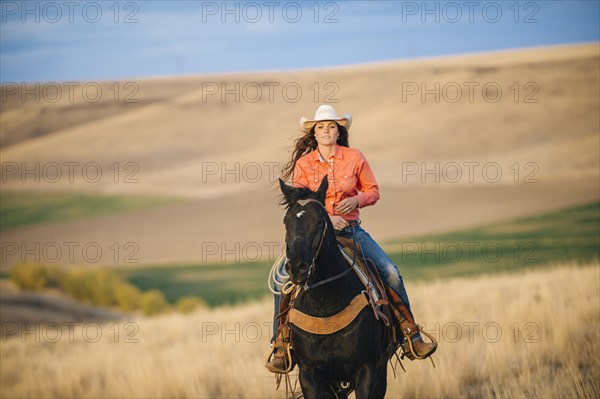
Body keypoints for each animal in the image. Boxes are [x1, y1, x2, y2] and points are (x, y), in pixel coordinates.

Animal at [278, 178, 386, 399]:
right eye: (286, 222)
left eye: (319, 221)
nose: (297, 267)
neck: (326, 304)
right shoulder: (309, 375)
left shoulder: (367, 370)